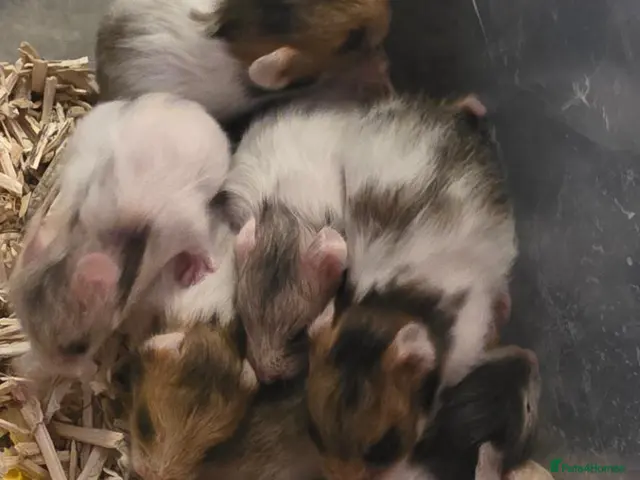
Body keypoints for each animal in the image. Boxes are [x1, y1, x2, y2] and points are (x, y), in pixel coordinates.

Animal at [9, 92, 231, 378]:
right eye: (26, 329)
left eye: (78, 347)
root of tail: (184, 102)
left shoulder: (186, 222)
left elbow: (201, 246)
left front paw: (196, 272)